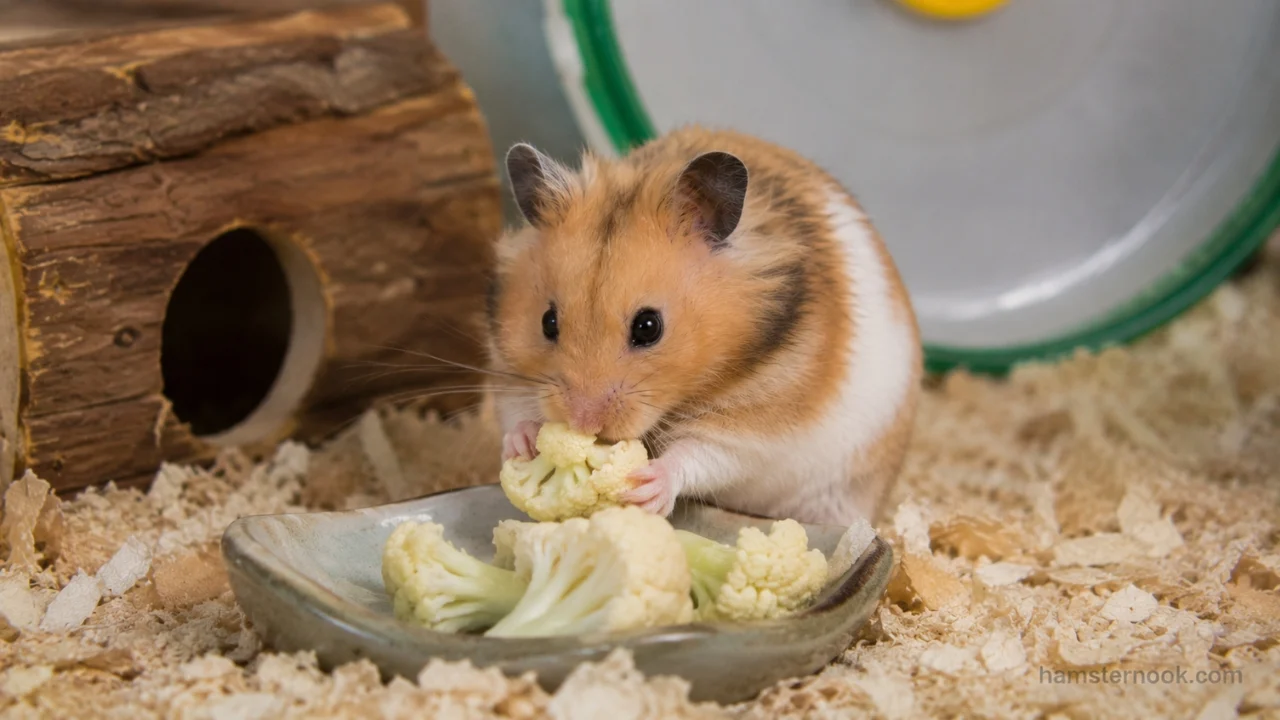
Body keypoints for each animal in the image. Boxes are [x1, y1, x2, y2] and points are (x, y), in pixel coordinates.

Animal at [485, 127, 922, 525]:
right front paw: (521, 444)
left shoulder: (755, 430)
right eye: (548, 322)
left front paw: (649, 487)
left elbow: (700, 454)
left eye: (648, 327)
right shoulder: (507, 374)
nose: (582, 423)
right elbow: (515, 412)